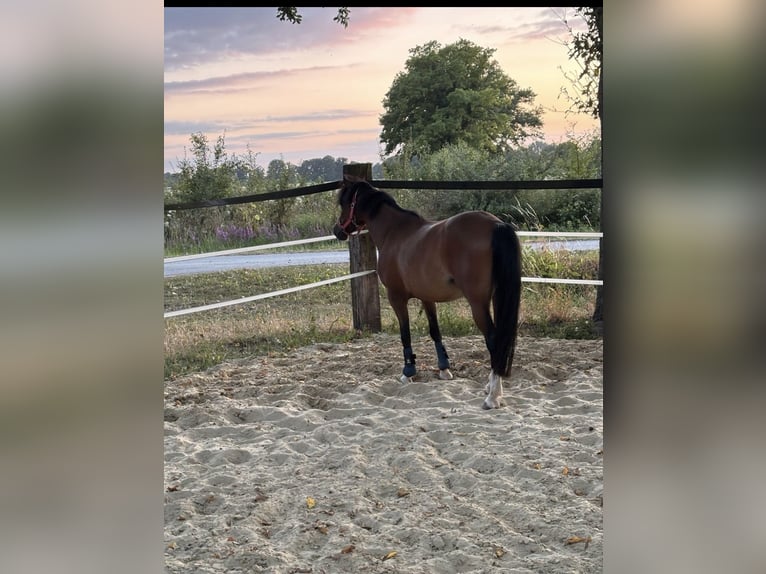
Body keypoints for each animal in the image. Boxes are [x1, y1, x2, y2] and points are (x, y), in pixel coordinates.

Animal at [333, 175, 522, 410]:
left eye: (344, 202)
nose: (337, 230)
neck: (394, 232)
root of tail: (496, 224)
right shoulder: (427, 297)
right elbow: (435, 332)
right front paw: (444, 369)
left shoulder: (396, 297)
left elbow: (405, 334)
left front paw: (408, 372)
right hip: (496, 298)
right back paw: (490, 387)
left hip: (478, 303)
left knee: (494, 340)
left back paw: (492, 397)